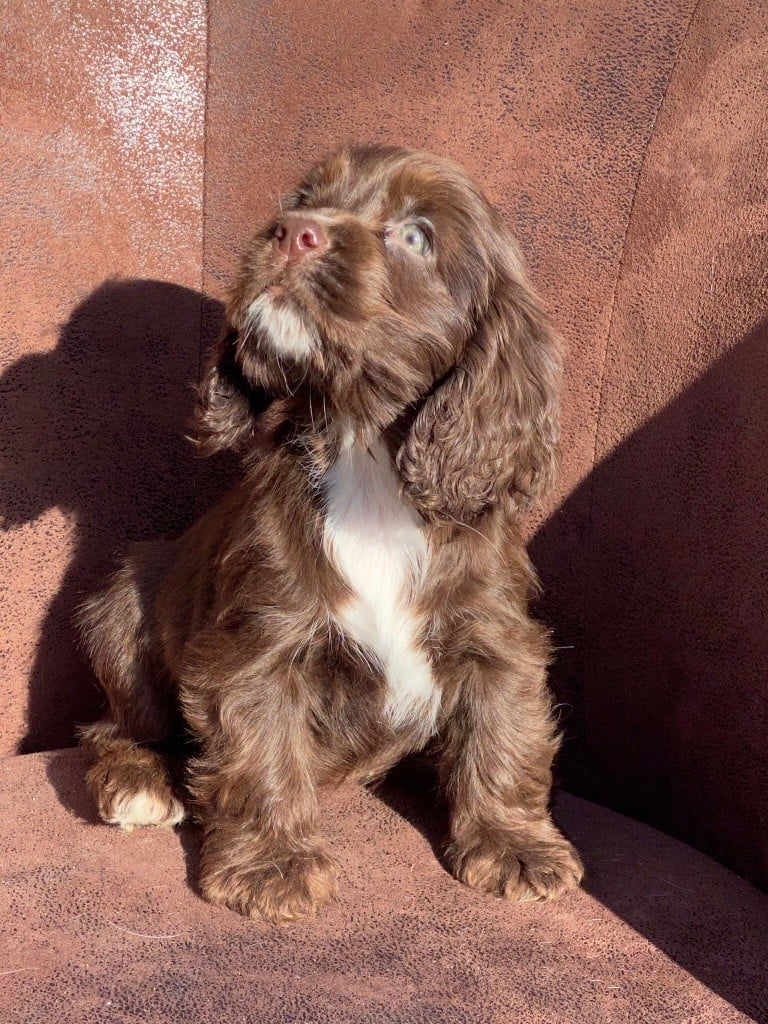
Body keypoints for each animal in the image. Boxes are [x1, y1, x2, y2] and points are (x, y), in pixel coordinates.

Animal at [78, 146, 581, 929]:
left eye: (417, 235)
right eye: (305, 196)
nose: (291, 232)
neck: (364, 457)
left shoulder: (495, 632)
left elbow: (507, 732)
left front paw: (517, 847)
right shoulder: (258, 642)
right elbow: (261, 753)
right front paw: (271, 866)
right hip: (122, 609)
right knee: (115, 729)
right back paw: (139, 782)